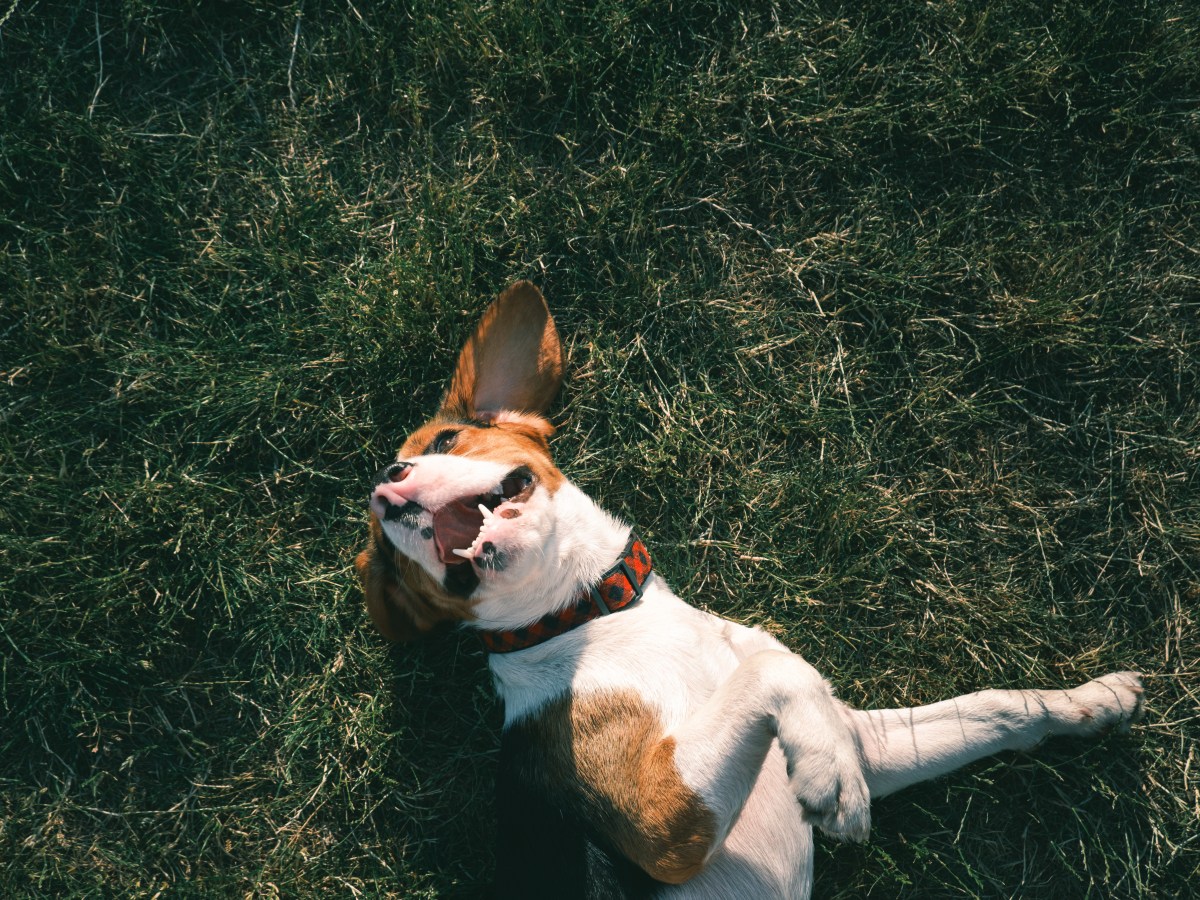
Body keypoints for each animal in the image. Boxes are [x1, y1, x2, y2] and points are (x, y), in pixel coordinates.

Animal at [352, 280, 1142, 897]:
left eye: (445, 440)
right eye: (386, 559)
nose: (386, 490)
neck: (592, 614)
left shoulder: (870, 740)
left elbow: (996, 707)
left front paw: (1090, 702)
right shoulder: (664, 824)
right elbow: (772, 669)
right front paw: (829, 777)